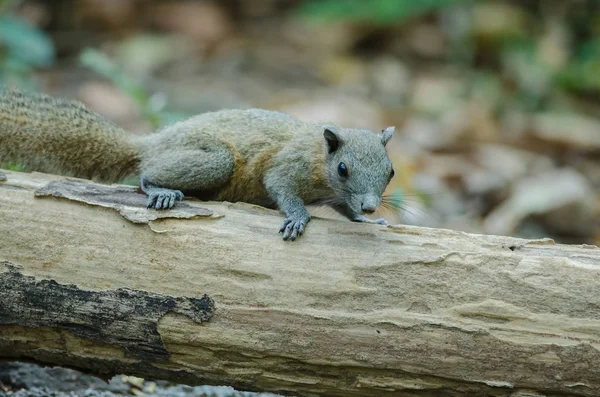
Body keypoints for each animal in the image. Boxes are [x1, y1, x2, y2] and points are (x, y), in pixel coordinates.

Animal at [0, 89, 396, 238]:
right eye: (343, 169)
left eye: (391, 172)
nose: (371, 206)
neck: (318, 156)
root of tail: (154, 142)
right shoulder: (287, 166)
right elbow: (281, 187)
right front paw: (298, 218)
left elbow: (344, 207)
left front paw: (364, 219)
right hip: (215, 159)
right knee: (145, 173)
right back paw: (159, 190)